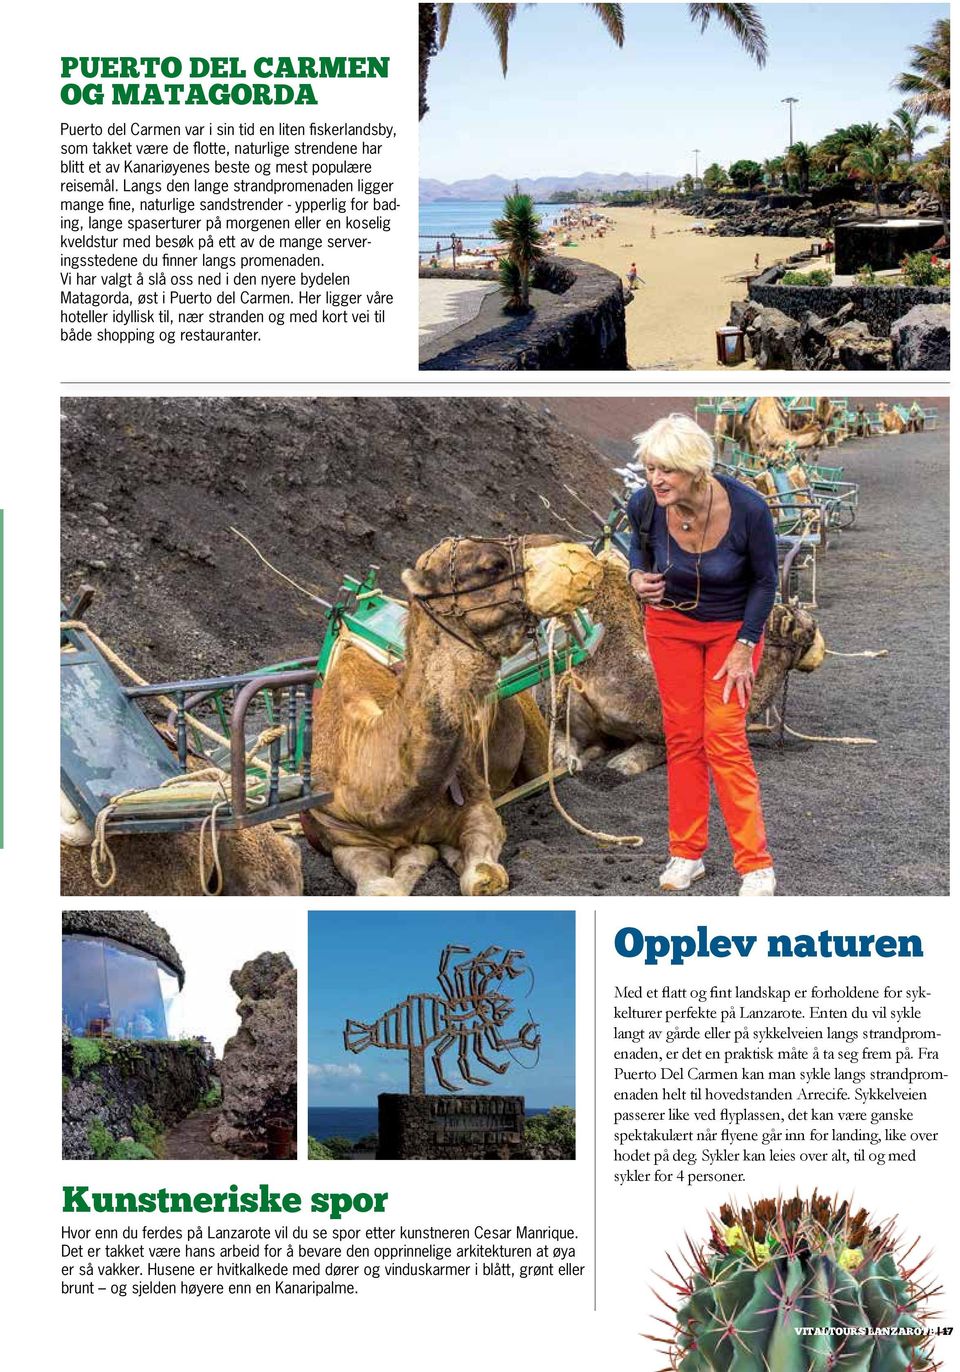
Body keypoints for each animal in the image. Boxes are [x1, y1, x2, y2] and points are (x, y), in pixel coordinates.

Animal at [300, 535, 600, 900]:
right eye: (491, 565)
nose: (579, 555)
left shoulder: (477, 806)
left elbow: (484, 875)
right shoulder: (344, 840)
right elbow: (381, 888)